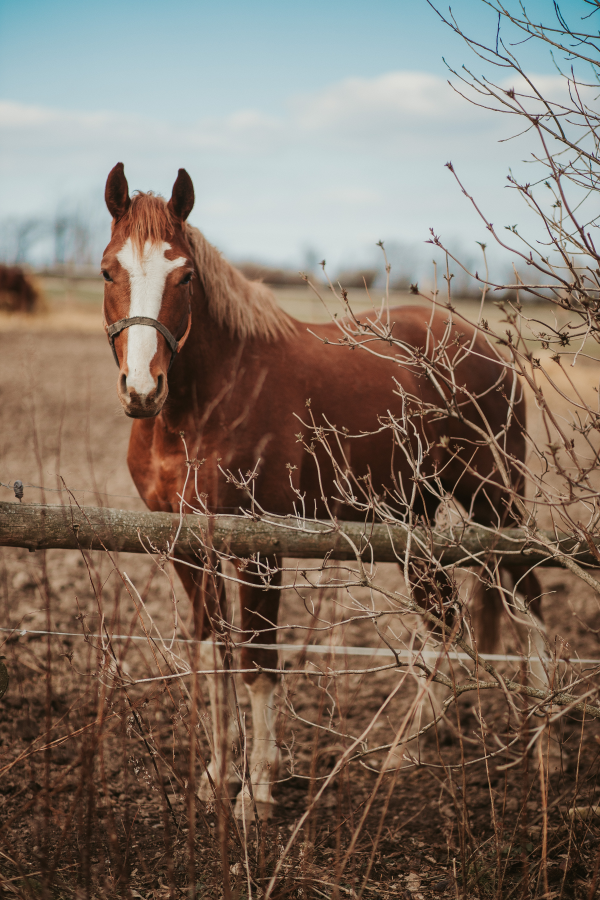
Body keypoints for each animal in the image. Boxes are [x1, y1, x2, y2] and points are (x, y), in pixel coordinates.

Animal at [99, 162, 544, 816]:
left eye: (184, 275)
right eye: (110, 269)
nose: (141, 389)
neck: (207, 403)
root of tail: (484, 347)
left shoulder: (260, 550)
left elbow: (258, 660)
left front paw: (257, 791)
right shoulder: (184, 545)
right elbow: (212, 654)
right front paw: (215, 776)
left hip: (494, 499)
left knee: (528, 599)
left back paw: (545, 748)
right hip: (411, 519)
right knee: (444, 618)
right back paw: (403, 753)